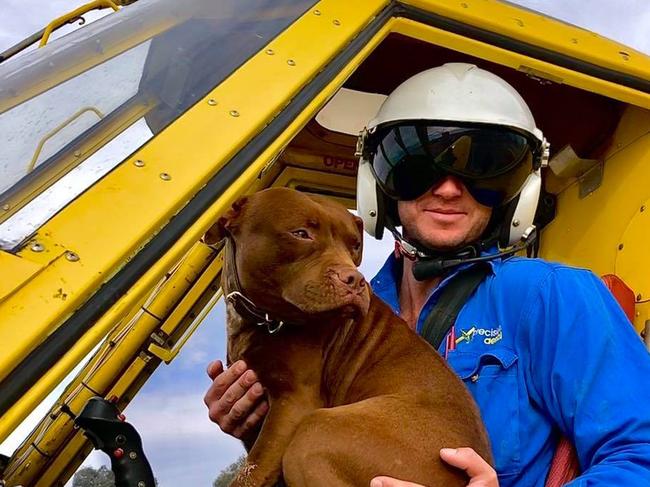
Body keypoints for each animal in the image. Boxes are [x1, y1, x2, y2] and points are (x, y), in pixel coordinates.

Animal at [205, 188, 488, 487]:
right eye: (301, 233)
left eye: (354, 245)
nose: (355, 280)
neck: (264, 320)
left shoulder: (294, 403)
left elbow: (251, 472)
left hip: (315, 434)